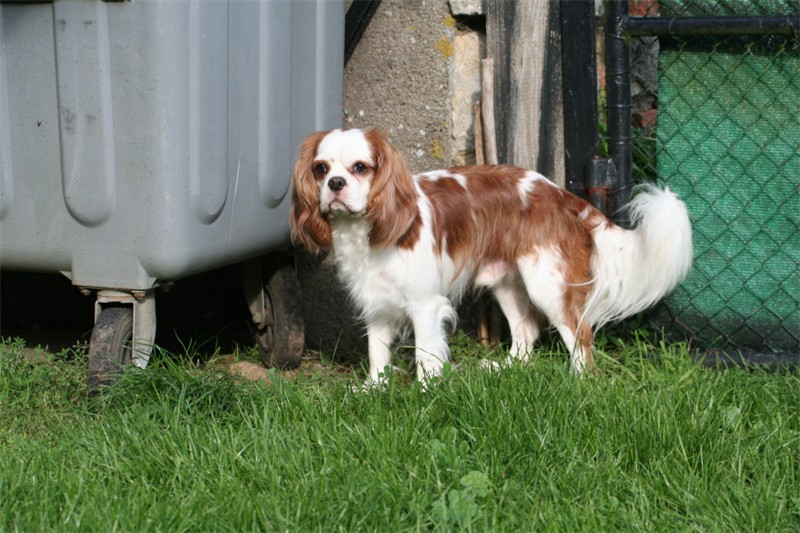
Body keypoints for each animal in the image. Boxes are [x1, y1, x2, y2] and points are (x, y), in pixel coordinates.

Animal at [290, 127, 692, 384]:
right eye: (321, 169)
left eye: (360, 167)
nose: (335, 184)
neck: (367, 231)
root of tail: (562, 196)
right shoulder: (376, 303)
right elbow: (377, 352)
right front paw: (374, 389)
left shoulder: (425, 304)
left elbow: (425, 355)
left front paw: (424, 394)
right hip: (506, 283)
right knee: (527, 333)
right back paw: (506, 368)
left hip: (547, 284)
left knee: (581, 335)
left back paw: (579, 382)